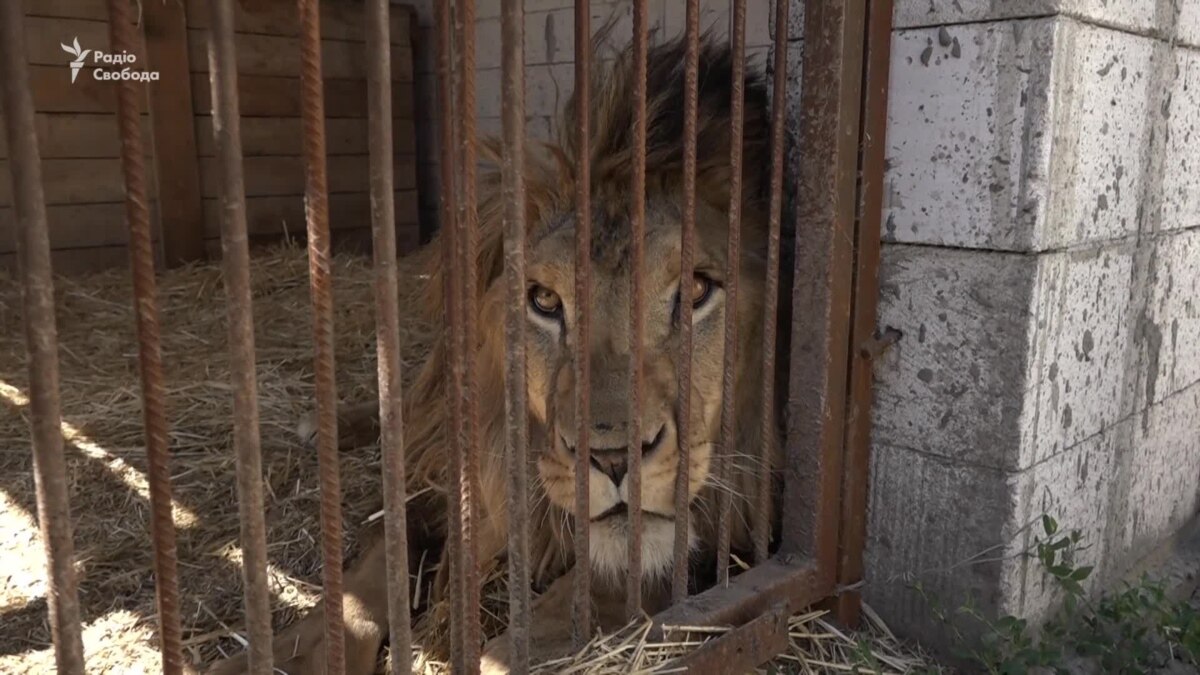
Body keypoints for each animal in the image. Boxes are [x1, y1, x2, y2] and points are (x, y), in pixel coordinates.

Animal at [211, 32, 792, 672]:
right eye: (544, 299)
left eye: (694, 291)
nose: (614, 460)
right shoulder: (456, 477)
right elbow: (375, 562)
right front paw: (295, 654)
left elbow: (601, 583)